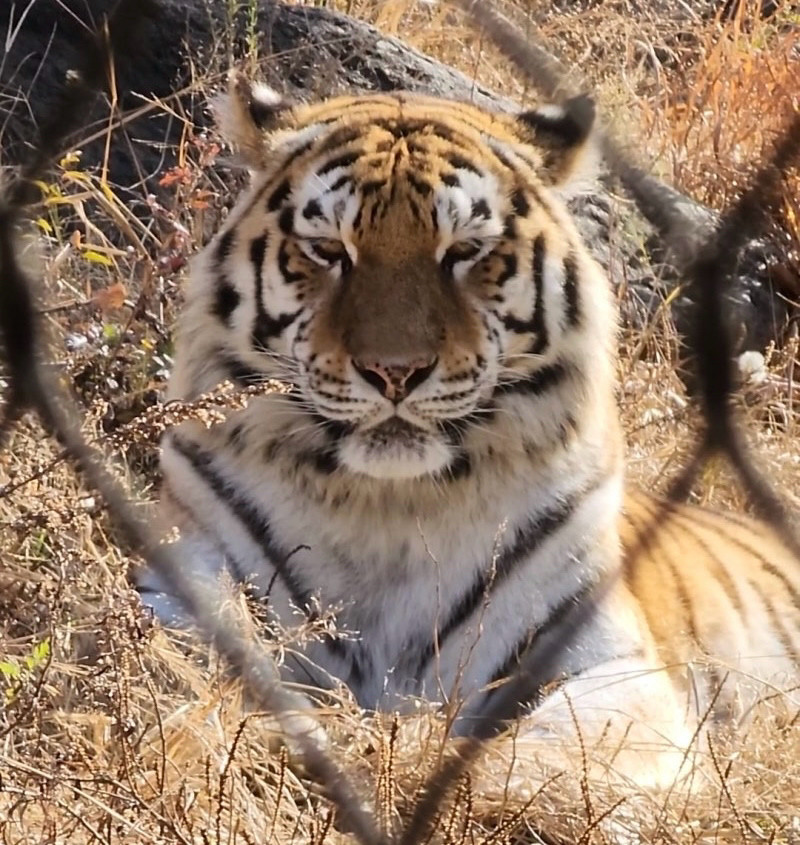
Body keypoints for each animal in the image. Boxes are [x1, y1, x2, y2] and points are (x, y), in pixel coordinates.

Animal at [138, 76, 800, 788]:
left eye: (462, 252)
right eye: (329, 250)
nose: (394, 371)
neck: (385, 509)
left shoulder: (612, 664)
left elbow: (533, 758)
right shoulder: (173, 590)